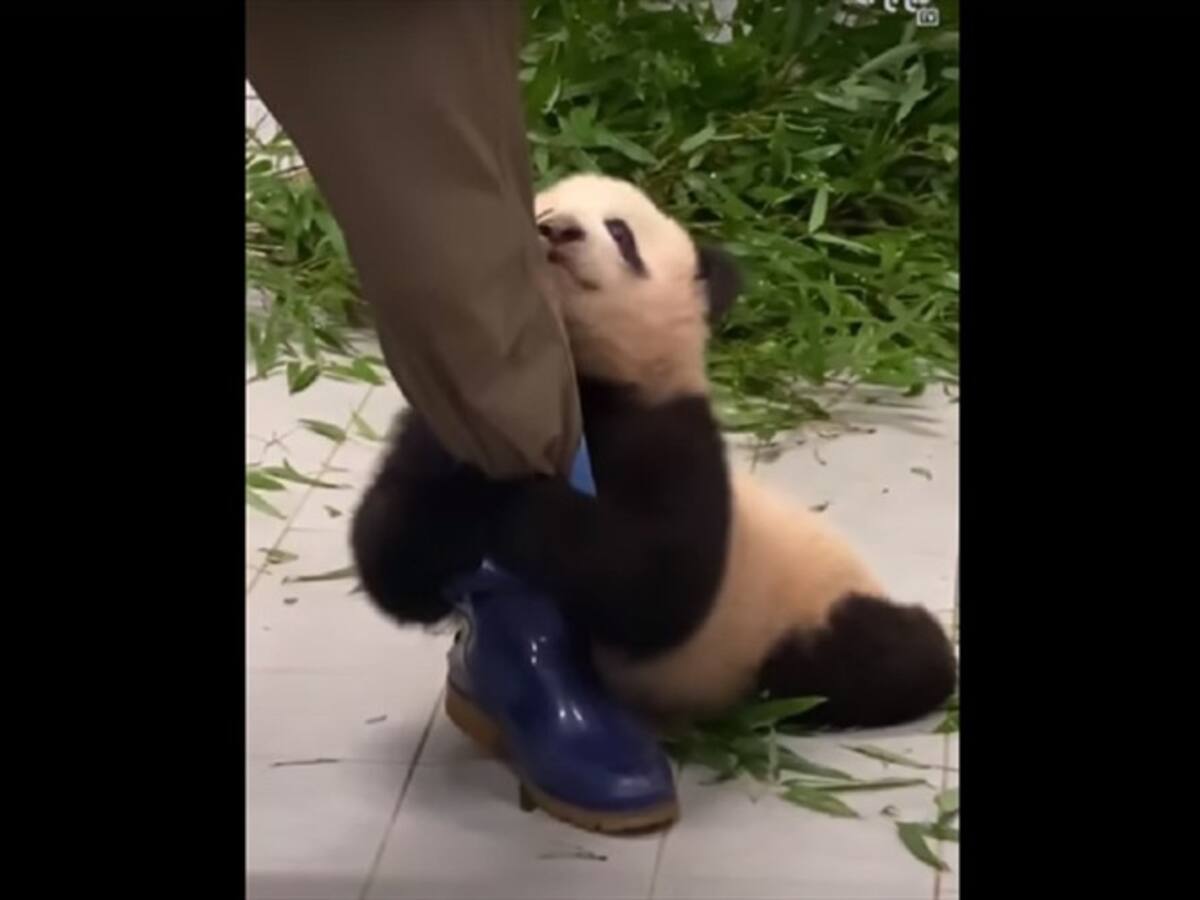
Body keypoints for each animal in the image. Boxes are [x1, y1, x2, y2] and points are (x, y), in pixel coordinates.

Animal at [351, 172, 956, 730]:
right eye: (536, 211)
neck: (579, 377)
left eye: (620, 233)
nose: (559, 230)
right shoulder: (451, 415)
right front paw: (460, 500)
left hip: (803, 617)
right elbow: (394, 553)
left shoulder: (673, 433)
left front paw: (520, 503)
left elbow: (657, 583)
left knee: (885, 659)